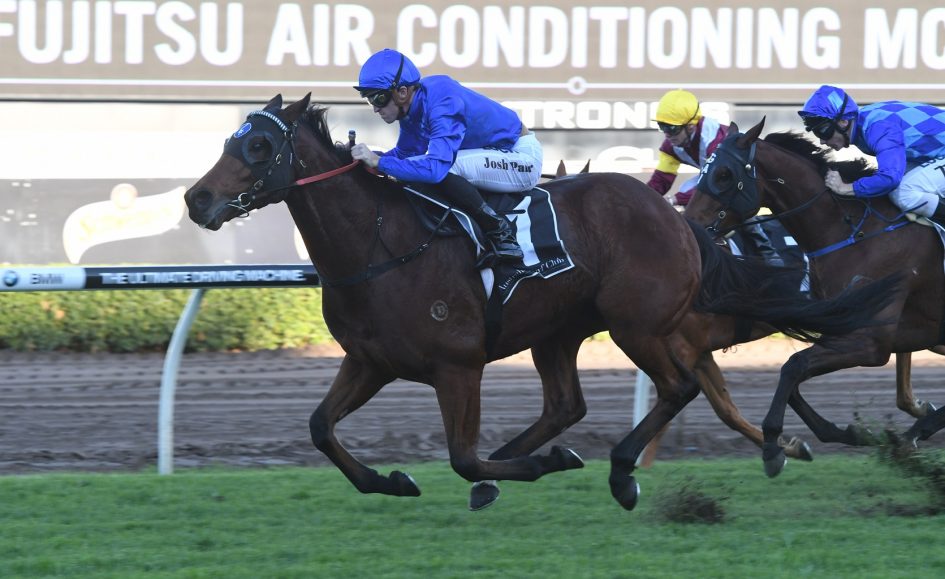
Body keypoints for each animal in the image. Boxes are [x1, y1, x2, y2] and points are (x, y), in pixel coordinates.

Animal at [184, 94, 896, 510]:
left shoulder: (457, 365)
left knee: (677, 388)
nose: (196, 199)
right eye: (229, 138)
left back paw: (620, 471)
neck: (381, 243)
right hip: (561, 330)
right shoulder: (370, 361)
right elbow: (319, 429)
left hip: (637, 324)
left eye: (258, 144)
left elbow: (461, 456)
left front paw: (525, 468)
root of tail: (676, 217)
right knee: (570, 404)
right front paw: (393, 479)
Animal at [684, 118, 943, 477]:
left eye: (723, 174)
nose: (689, 223)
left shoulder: (869, 340)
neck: (850, 231)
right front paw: (846, 433)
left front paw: (773, 447)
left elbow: (793, 366)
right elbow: (789, 378)